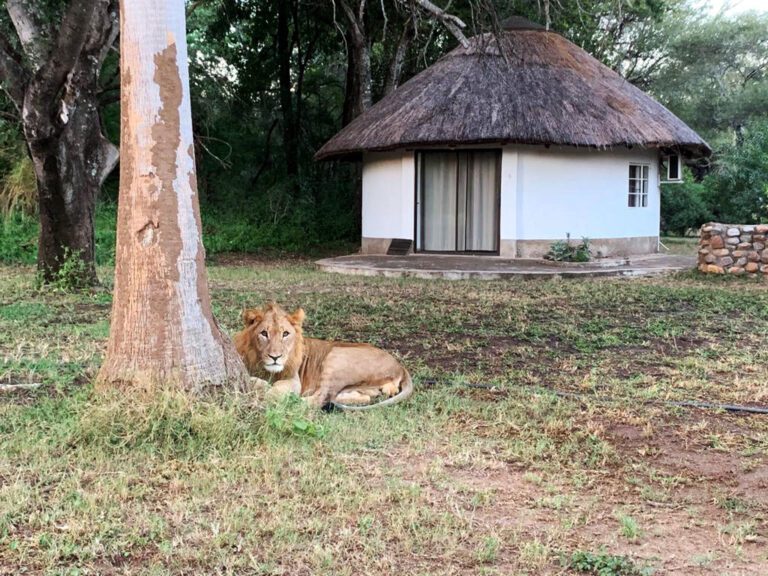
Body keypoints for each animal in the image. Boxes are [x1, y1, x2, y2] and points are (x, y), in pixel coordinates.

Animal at [234, 302, 413, 410]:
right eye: (264, 333)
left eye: (285, 334)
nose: (275, 357)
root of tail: (400, 366)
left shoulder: (294, 380)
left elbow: (276, 389)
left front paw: (262, 391)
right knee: (360, 398)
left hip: (336, 357)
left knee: (320, 398)